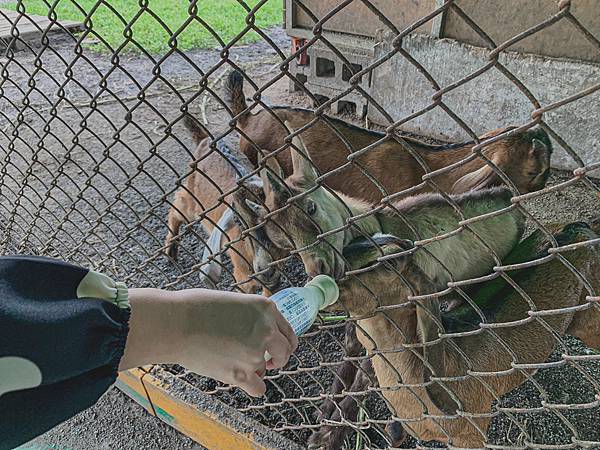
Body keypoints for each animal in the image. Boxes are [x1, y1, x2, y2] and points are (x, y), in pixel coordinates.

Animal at [163, 114, 284, 294]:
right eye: (239, 222)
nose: (265, 269)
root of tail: (205, 139)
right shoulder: (243, 275)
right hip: (191, 200)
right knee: (177, 206)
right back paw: (170, 250)